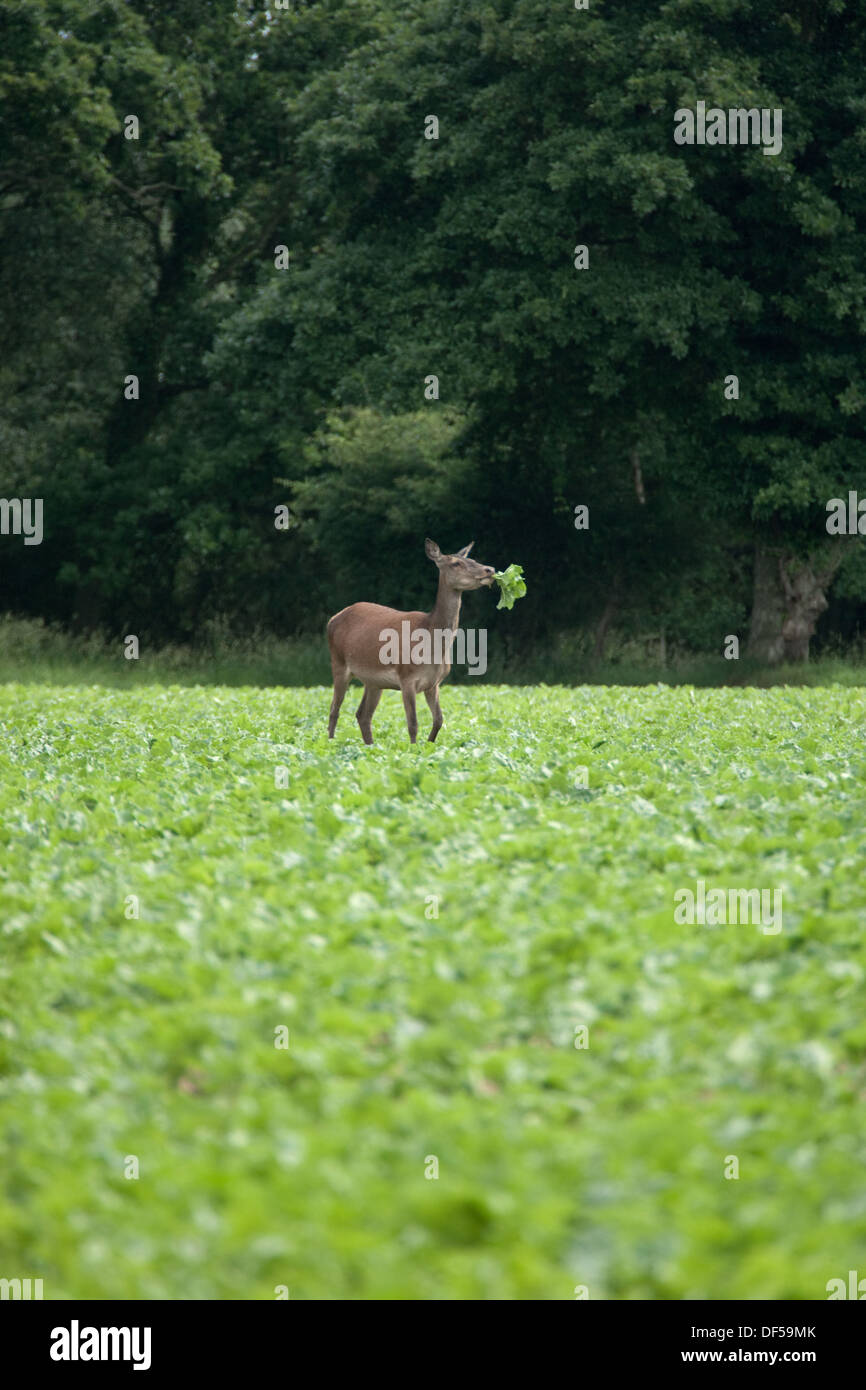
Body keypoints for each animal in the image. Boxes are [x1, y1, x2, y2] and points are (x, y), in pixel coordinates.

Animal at [327, 538, 495, 744]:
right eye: (456, 563)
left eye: (471, 559)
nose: (489, 569)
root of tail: (333, 618)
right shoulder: (406, 678)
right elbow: (413, 723)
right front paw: (413, 750)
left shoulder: (434, 683)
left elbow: (439, 720)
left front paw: (429, 746)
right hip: (338, 662)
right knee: (334, 710)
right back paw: (331, 744)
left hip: (373, 681)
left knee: (362, 714)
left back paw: (370, 747)